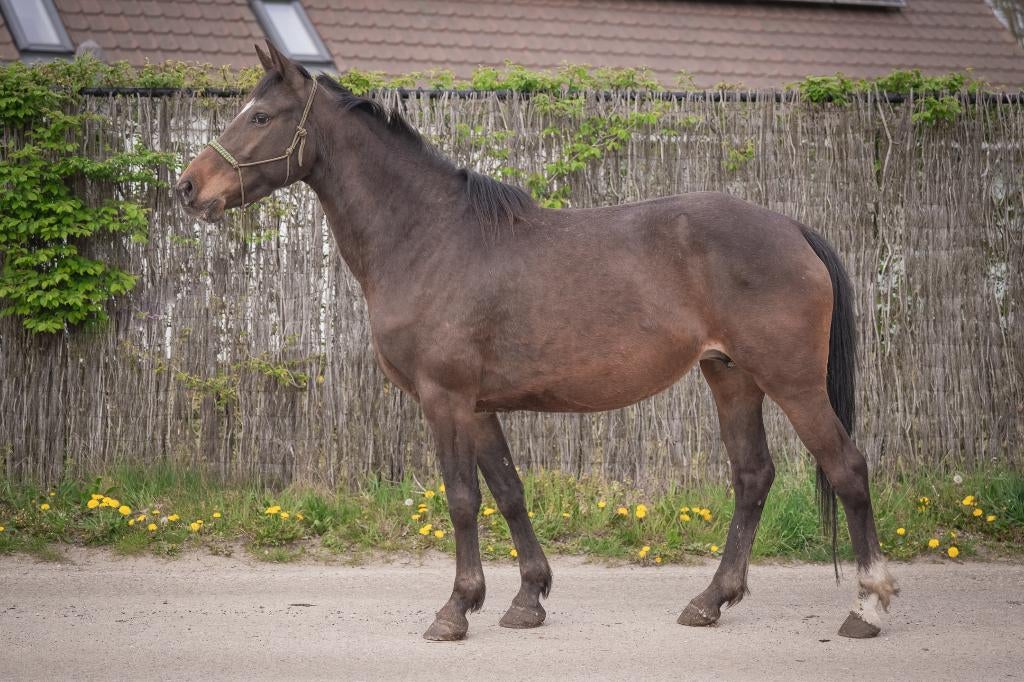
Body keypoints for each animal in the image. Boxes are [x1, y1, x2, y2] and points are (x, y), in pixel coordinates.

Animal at [177, 42, 898, 641]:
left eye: (261, 115)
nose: (188, 186)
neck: (429, 237)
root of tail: (792, 228)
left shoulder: (445, 398)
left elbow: (462, 500)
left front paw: (455, 609)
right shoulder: (479, 406)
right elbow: (508, 492)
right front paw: (527, 598)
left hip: (792, 381)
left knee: (846, 468)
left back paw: (867, 605)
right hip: (731, 376)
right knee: (752, 477)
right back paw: (710, 601)